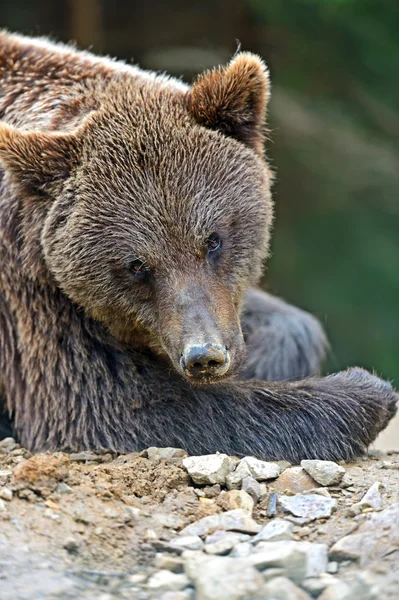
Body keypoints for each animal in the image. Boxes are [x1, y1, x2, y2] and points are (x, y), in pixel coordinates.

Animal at [0, 31, 396, 460]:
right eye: (137, 265)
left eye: (213, 241)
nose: (205, 356)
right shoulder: (32, 291)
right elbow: (108, 403)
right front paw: (364, 390)